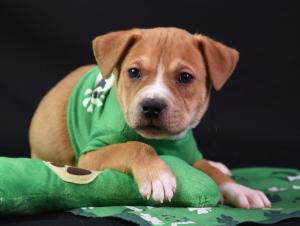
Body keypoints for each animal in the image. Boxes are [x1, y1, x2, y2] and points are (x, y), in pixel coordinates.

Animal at [29, 27, 270, 208]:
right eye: (134, 72)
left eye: (185, 77)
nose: (152, 106)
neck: (161, 141)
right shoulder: (90, 156)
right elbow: (134, 146)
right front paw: (158, 177)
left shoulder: (188, 151)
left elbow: (208, 169)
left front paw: (242, 190)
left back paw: (220, 165)